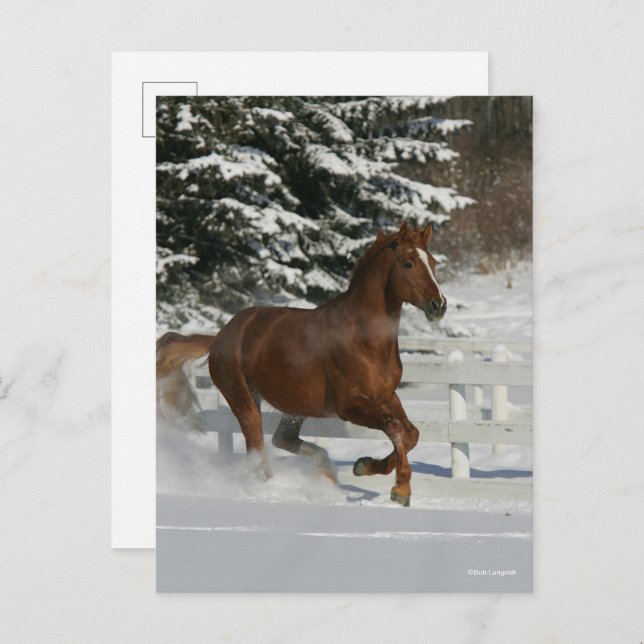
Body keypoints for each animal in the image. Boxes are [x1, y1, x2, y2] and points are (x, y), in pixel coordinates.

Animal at [156, 221, 447, 506]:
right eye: (408, 263)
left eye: (432, 262)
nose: (439, 305)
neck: (364, 338)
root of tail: (219, 337)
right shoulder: (350, 406)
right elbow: (395, 428)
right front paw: (401, 489)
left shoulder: (387, 397)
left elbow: (411, 433)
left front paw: (364, 466)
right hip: (243, 398)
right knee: (257, 446)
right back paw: (268, 489)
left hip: (297, 405)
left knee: (282, 438)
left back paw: (325, 472)